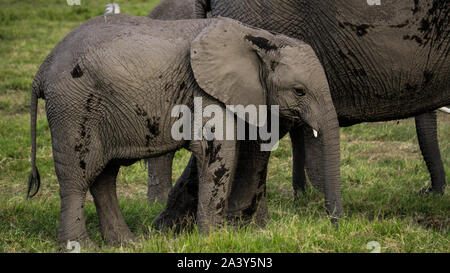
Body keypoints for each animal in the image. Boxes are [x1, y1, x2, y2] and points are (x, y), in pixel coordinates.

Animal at [28, 13, 340, 245]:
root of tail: (42, 69)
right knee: (76, 177)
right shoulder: (205, 90)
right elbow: (219, 151)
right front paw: (214, 240)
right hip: (73, 106)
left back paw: (127, 244)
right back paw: (81, 246)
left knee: (104, 176)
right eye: (299, 91)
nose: (334, 223)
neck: (259, 38)